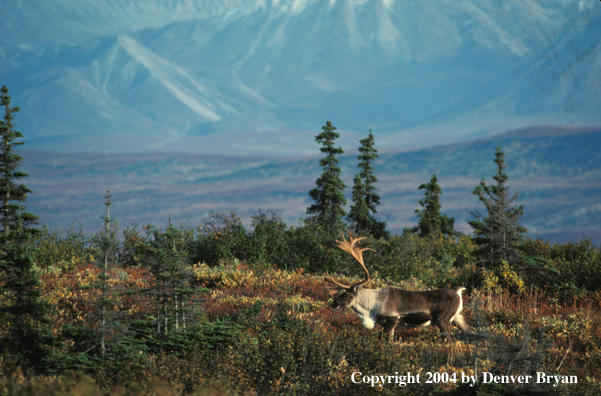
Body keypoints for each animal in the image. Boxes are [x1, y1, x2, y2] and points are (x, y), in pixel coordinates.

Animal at [326, 235, 472, 340]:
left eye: (346, 294)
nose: (333, 304)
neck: (372, 304)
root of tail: (458, 292)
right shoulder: (389, 324)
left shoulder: (392, 319)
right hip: (458, 317)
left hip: (442, 320)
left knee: (451, 340)